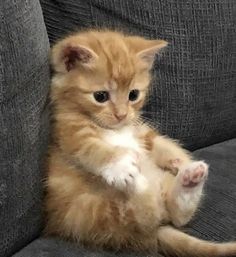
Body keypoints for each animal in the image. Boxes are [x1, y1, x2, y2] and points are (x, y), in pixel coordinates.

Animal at [44, 30, 236, 256]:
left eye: (133, 95)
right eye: (100, 96)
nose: (121, 115)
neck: (115, 129)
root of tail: (157, 231)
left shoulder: (140, 131)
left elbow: (157, 143)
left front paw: (180, 160)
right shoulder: (68, 131)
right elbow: (92, 149)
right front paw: (120, 166)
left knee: (176, 215)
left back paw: (190, 178)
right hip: (93, 213)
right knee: (146, 213)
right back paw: (137, 181)